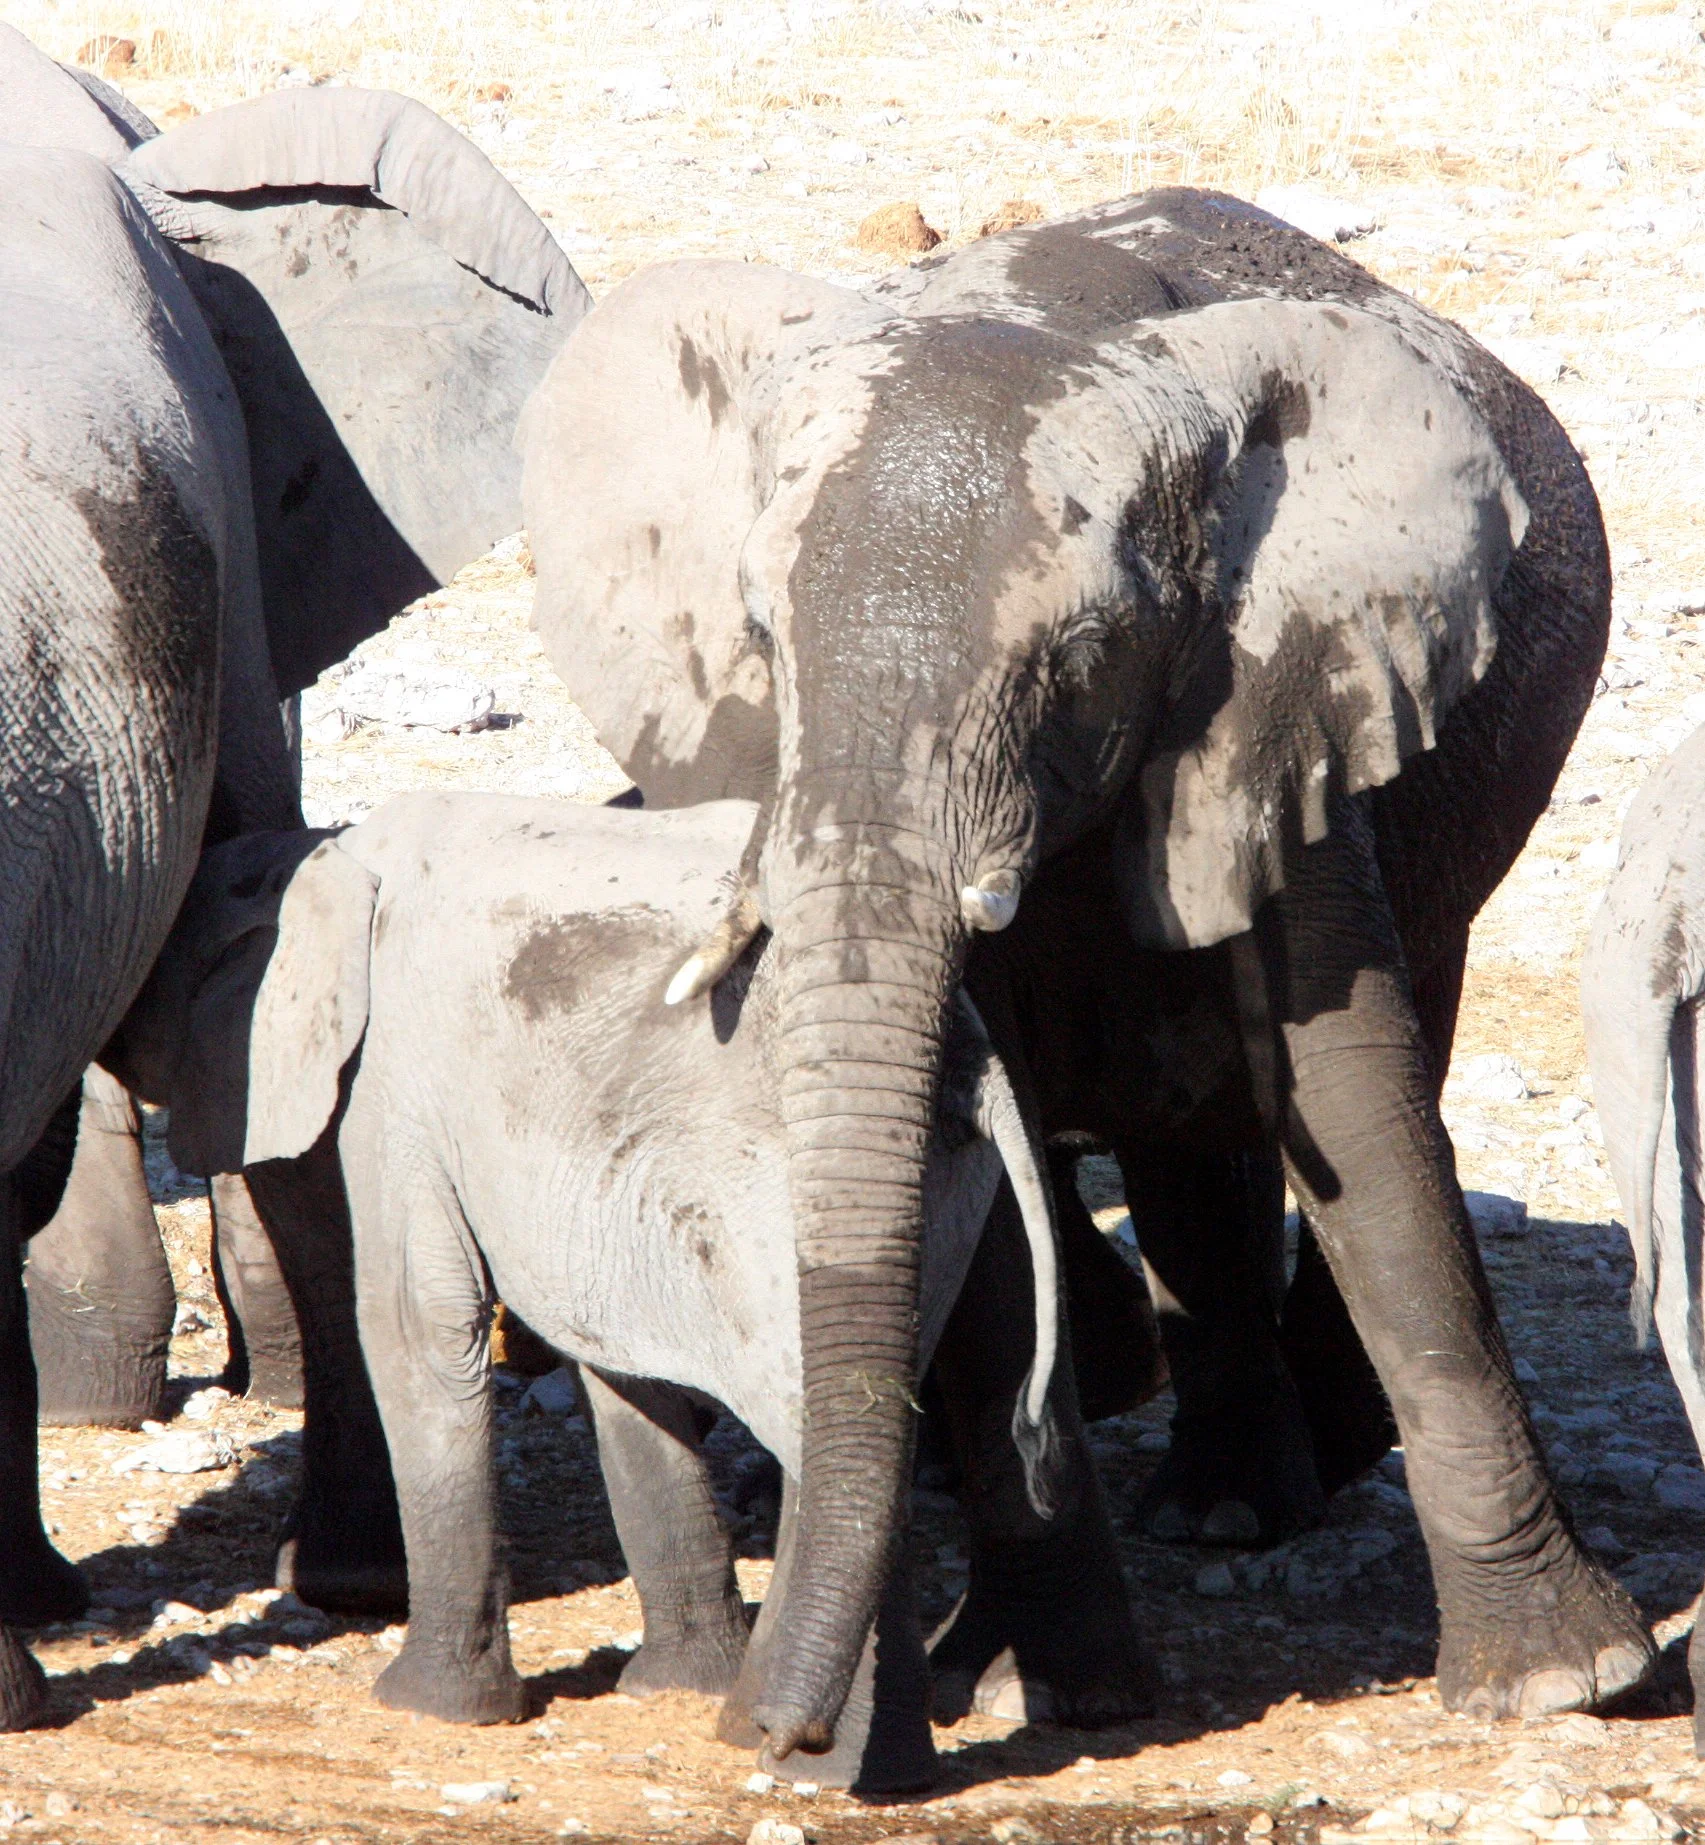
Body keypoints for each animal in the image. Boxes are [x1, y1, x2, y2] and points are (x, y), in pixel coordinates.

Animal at [107, 791, 1093, 1789]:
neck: (322, 857)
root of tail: (969, 1052)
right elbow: (620, 1370)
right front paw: (672, 1687)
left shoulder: (396, 1083)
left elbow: (418, 1322)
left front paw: (429, 1706)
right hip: (936, 1186)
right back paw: (784, 1736)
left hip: (781, 1195)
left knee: (818, 1424)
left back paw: (827, 1767)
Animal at [519, 187, 1653, 1753]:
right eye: (760, 635)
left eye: (1084, 655)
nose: (766, 1734)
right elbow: (989, 1142)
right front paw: (1035, 1690)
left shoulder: (1288, 684)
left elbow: (1351, 1102)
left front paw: (1566, 1683)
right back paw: (1219, 1504)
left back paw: (1251, 1501)